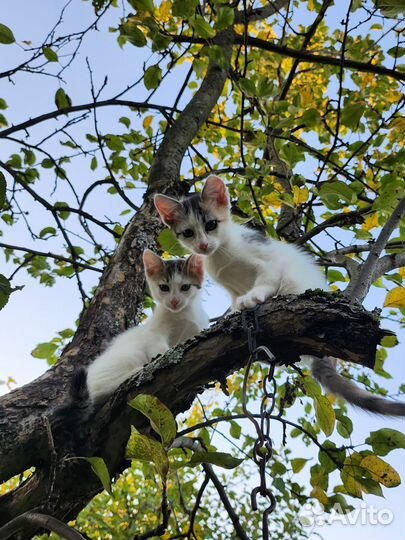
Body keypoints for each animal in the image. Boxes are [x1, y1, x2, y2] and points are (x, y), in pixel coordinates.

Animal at [87, 250, 210, 400]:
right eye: (164, 287)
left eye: (185, 287)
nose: (174, 301)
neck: (181, 314)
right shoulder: (153, 333)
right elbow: (159, 349)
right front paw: (164, 357)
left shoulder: (196, 327)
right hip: (130, 354)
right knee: (99, 390)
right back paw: (136, 372)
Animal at [154, 175, 404, 416]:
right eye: (188, 233)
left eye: (211, 224)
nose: (204, 245)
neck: (221, 256)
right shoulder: (232, 287)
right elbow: (235, 298)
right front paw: (234, 310)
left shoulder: (270, 262)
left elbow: (266, 281)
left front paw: (253, 297)